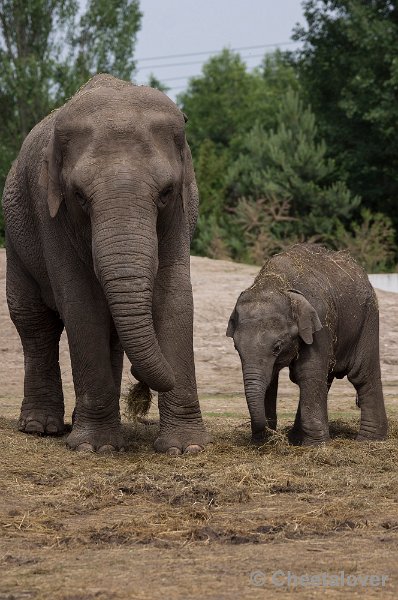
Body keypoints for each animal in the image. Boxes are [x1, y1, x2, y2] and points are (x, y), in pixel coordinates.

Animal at [3, 74, 211, 454]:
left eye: (165, 192)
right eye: (80, 196)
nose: (140, 385)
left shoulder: (181, 211)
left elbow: (174, 295)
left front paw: (186, 448)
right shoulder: (50, 212)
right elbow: (81, 303)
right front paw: (94, 448)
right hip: (16, 235)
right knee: (33, 322)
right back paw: (40, 427)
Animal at [229, 244, 388, 446]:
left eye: (277, 347)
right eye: (236, 348)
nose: (268, 432)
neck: (277, 282)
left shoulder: (318, 323)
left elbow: (308, 372)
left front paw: (316, 446)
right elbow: (272, 379)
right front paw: (261, 442)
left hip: (368, 319)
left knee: (362, 375)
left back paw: (369, 441)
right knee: (326, 378)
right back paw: (297, 438)